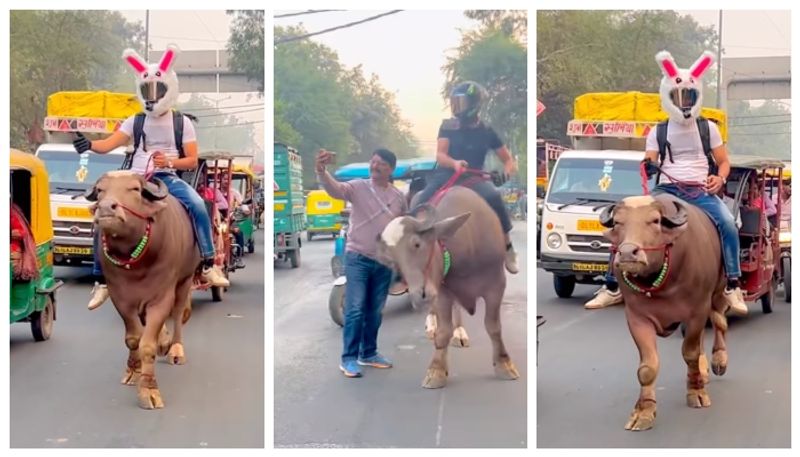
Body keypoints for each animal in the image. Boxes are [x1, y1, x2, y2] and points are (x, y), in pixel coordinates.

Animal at [85, 172, 202, 410]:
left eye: (134, 189)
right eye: (100, 190)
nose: (106, 207)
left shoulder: (161, 297)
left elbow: (147, 344)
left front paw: (149, 389)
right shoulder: (121, 297)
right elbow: (133, 338)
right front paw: (133, 370)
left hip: (185, 278)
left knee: (178, 314)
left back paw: (175, 349)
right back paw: (164, 342)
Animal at [376, 186, 520, 388]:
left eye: (417, 244)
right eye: (391, 259)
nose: (418, 296)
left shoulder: (497, 286)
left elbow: (493, 326)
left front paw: (504, 364)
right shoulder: (441, 292)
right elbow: (443, 332)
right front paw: (436, 370)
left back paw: (459, 332)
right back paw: (433, 325)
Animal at [600, 194, 724, 430]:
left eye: (655, 221)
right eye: (618, 222)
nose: (628, 253)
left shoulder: (697, 310)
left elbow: (690, 353)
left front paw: (696, 392)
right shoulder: (637, 317)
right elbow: (647, 367)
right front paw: (644, 411)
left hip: (718, 292)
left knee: (721, 322)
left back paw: (719, 360)